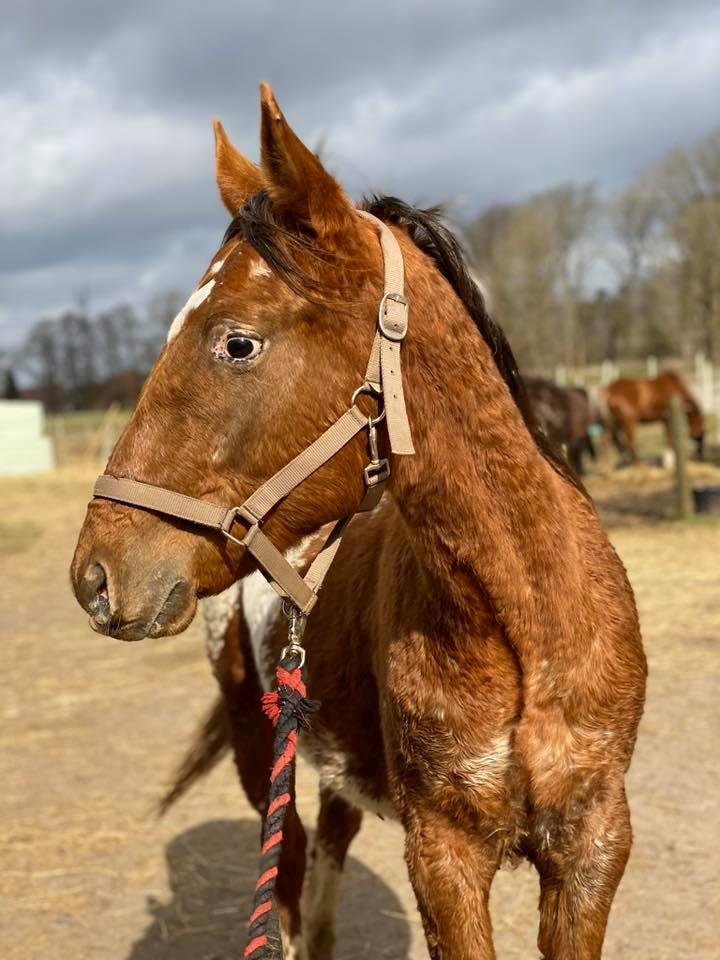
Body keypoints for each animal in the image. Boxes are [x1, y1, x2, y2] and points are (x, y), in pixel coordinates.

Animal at [71, 86, 648, 956]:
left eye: (237, 343)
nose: (97, 575)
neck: (527, 621)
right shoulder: (443, 852)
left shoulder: (592, 844)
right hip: (259, 748)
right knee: (289, 874)